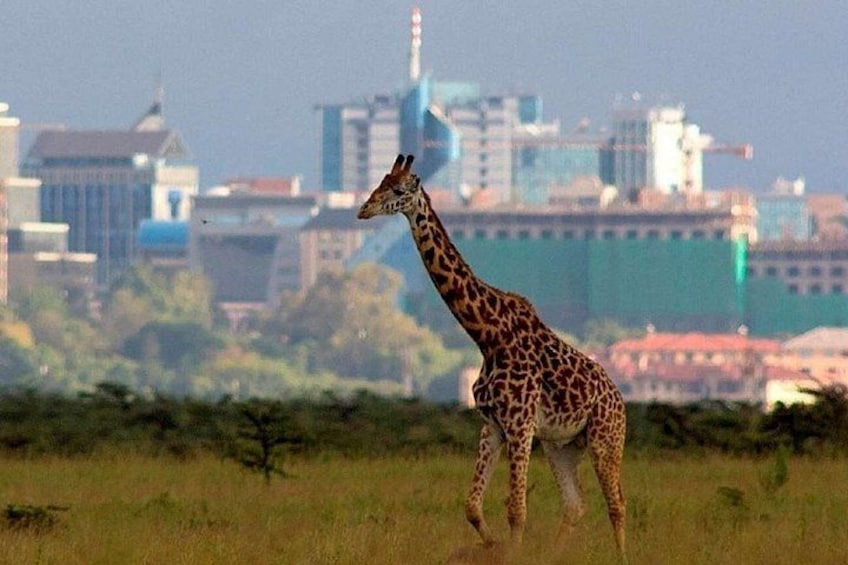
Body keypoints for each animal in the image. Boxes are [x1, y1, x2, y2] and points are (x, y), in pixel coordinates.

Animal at [357, 155, 627, 558]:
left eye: (398, 189)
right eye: (380, 182)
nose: (364, 209)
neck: (488, 336)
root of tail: (620, 401)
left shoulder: (520, 424)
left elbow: (516, 509)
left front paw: (509, 551)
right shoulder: (492, 426)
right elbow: (472, 506)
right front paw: (493, 545)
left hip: (605, 439)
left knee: (617, 504)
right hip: (561, 446)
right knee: (575, 505)